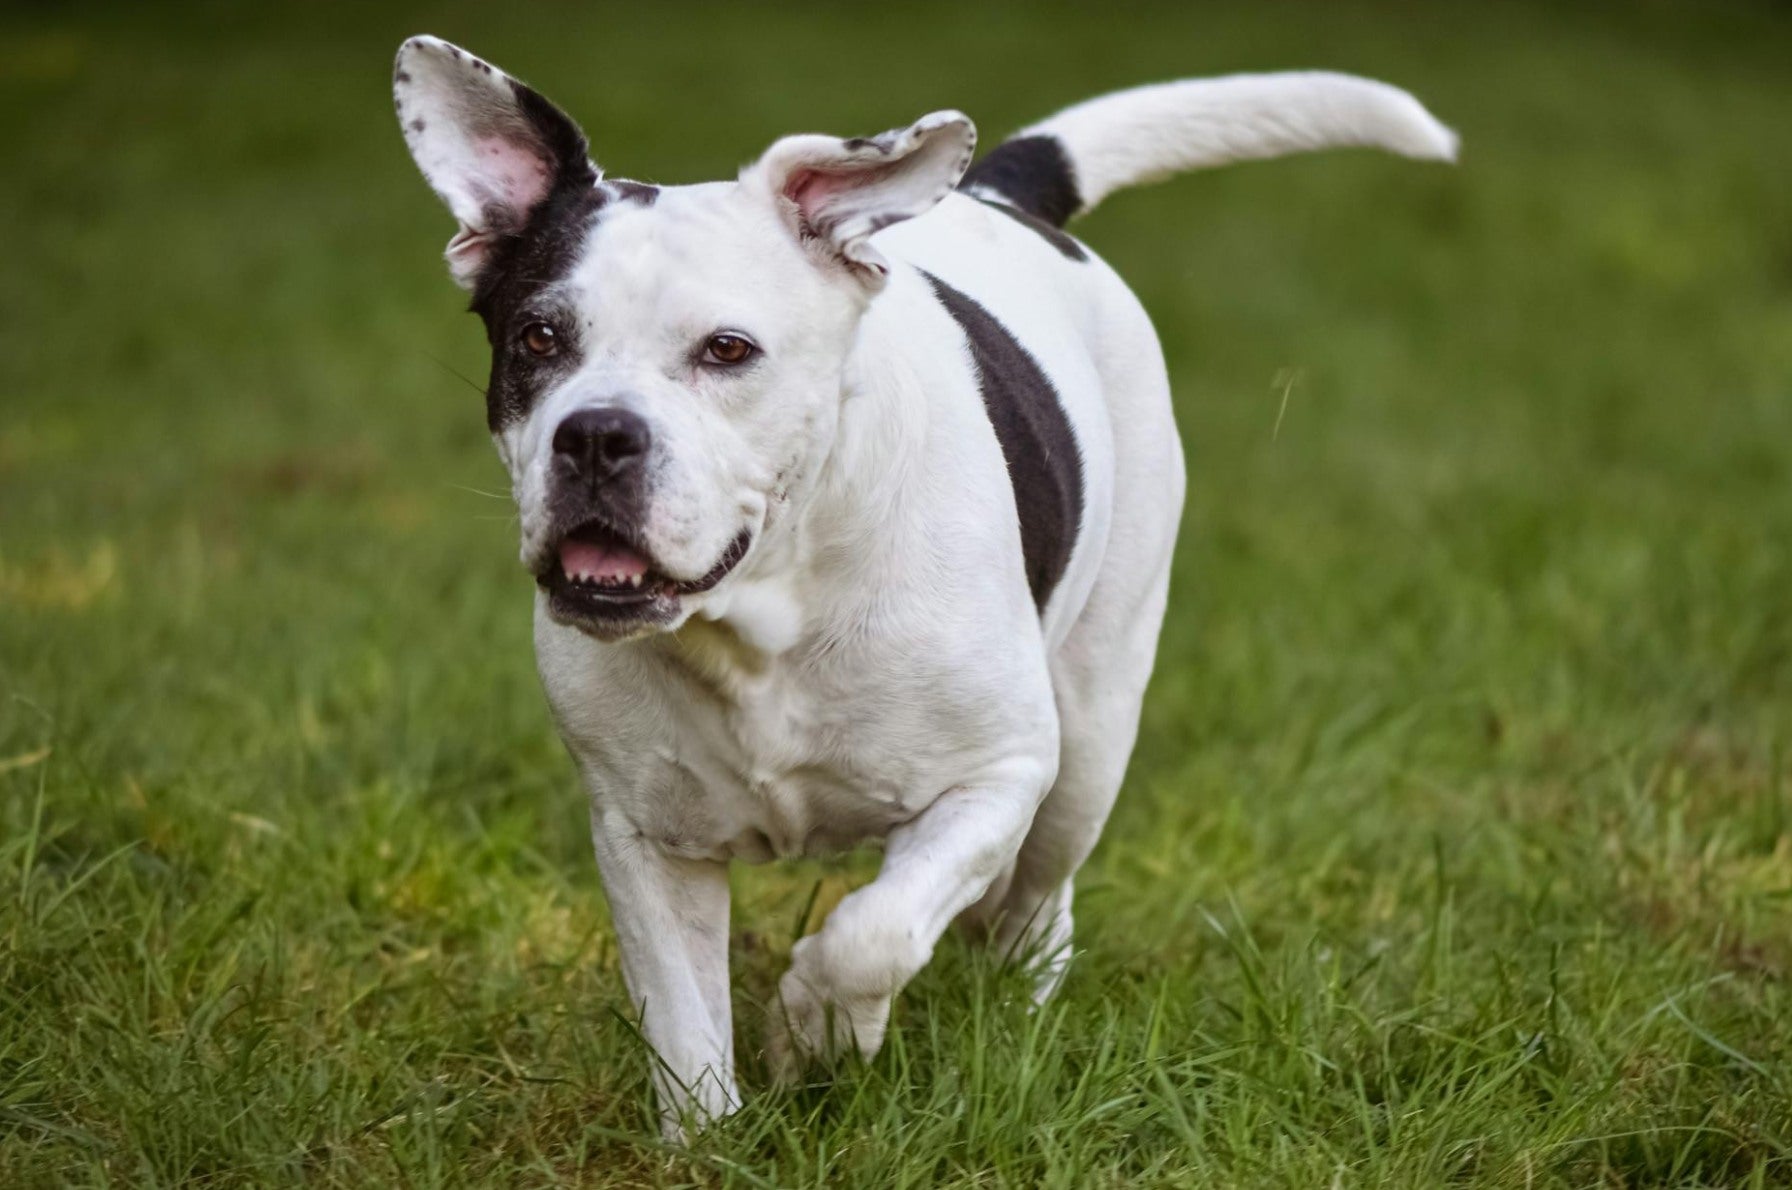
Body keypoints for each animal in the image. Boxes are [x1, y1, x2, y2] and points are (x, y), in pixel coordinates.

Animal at [392, 34, 1455, 1132]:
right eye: (538, 339)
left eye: (727, 350)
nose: (596, 433)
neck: (764, 614)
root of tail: (995, 193)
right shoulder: (646, 837)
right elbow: (686, 1029)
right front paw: (709, 1137)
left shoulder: (998, 774)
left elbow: (876, 931)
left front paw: (817, 1028)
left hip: (1090, 737)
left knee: (1038, 897)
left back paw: (1014, 1005)